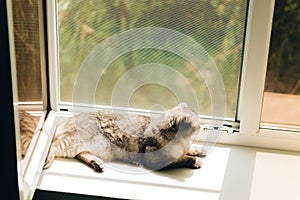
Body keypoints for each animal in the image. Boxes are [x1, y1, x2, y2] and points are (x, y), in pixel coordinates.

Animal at [43, 102, 205, 173]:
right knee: (53, 145)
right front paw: (195, 161)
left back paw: (98, 164)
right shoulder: (153, 159)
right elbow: (179, 159)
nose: (202, 127)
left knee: (83, 154)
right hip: (71, 143)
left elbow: (189, 150)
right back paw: (46, 161)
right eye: (197, 124)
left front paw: (199, 151)